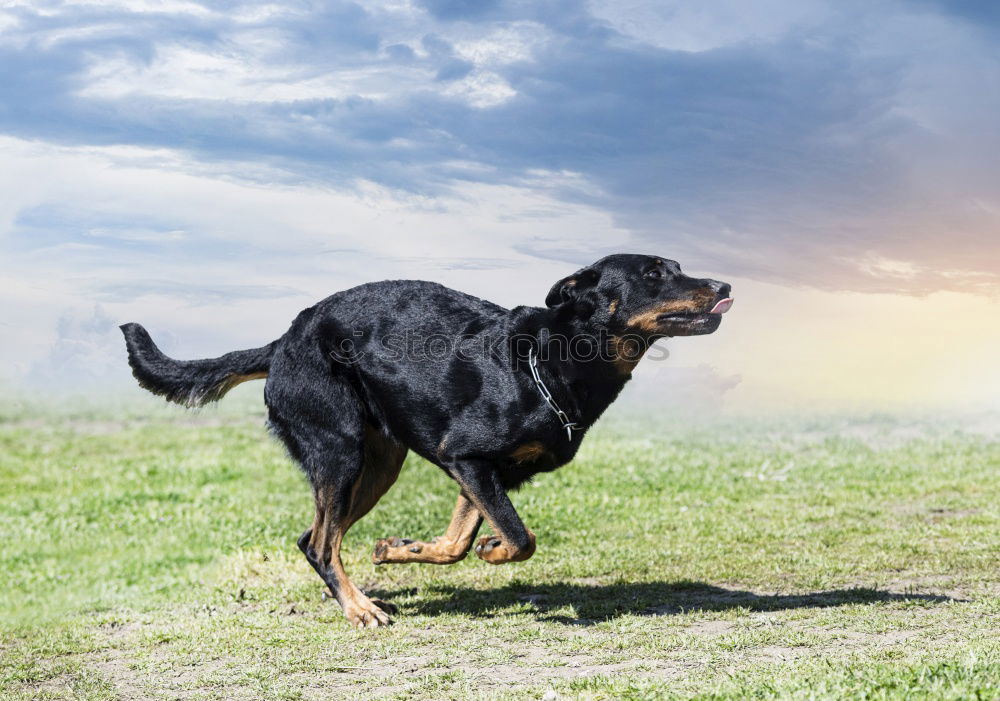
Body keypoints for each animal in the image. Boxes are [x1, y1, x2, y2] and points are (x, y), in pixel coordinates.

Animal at [123, 254, 736, 628]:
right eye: (653, 274)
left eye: (677, 268)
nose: (725, 286)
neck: (549, 360)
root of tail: (282, 341)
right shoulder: (464, 456)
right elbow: (520, 537)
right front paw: (493, 550)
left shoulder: (482, 473)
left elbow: (461, 541)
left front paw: (405, 549)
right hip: (341, 452)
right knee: (322, 542)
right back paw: (360, 610)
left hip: (378, 465)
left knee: (314, 538)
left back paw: (357, 590)